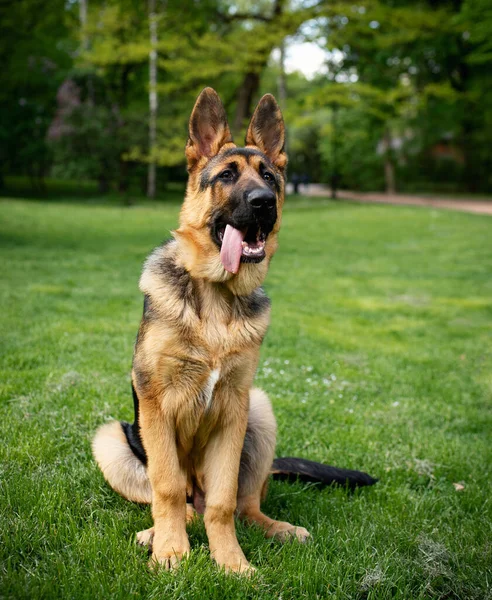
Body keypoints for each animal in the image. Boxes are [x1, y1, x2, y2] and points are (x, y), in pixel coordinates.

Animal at [93, 86, 376, 576]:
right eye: (226, 175)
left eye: (270, 176)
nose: (265, 202)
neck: (215, 299)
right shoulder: (155, 405)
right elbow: (168, 488)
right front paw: (171, 550)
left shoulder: (233, 410)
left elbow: (224, 503)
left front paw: (231, 562)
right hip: (113, 438)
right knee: (182, 502)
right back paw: (154, 534)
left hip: (259, 409)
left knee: (242, 505)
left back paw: (277, 528)